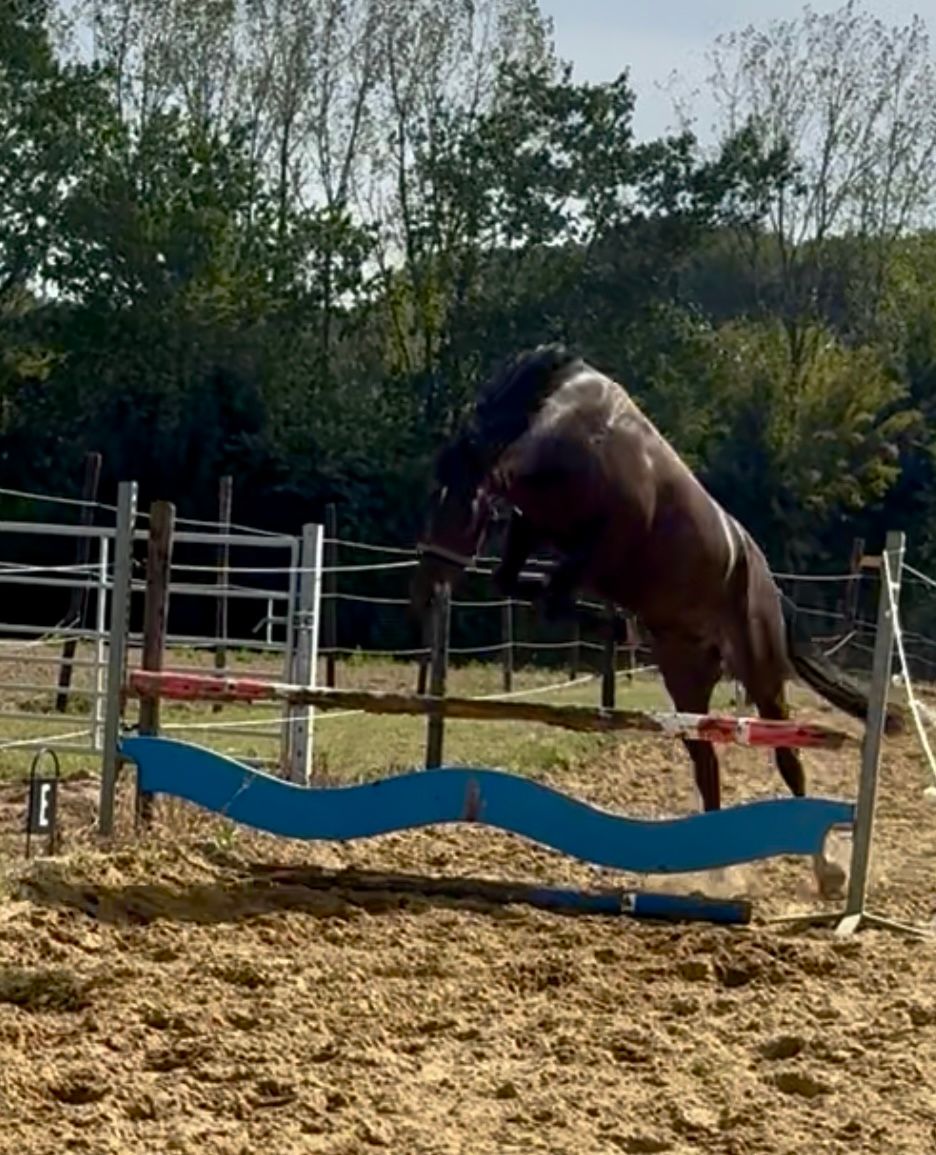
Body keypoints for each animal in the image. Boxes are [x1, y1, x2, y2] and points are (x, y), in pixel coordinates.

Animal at [410, 343, 902, 824]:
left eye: (461, 506)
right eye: (430, 499)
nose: (428, 581)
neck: (581, 439)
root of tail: (773, 595)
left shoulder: (606, 544)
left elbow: (555, 591)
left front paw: (610, 626)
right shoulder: (533, 524)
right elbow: (513, 581)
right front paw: (612, 628)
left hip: (762, 677)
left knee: (788, 756)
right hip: (688, 683)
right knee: (707, 765)